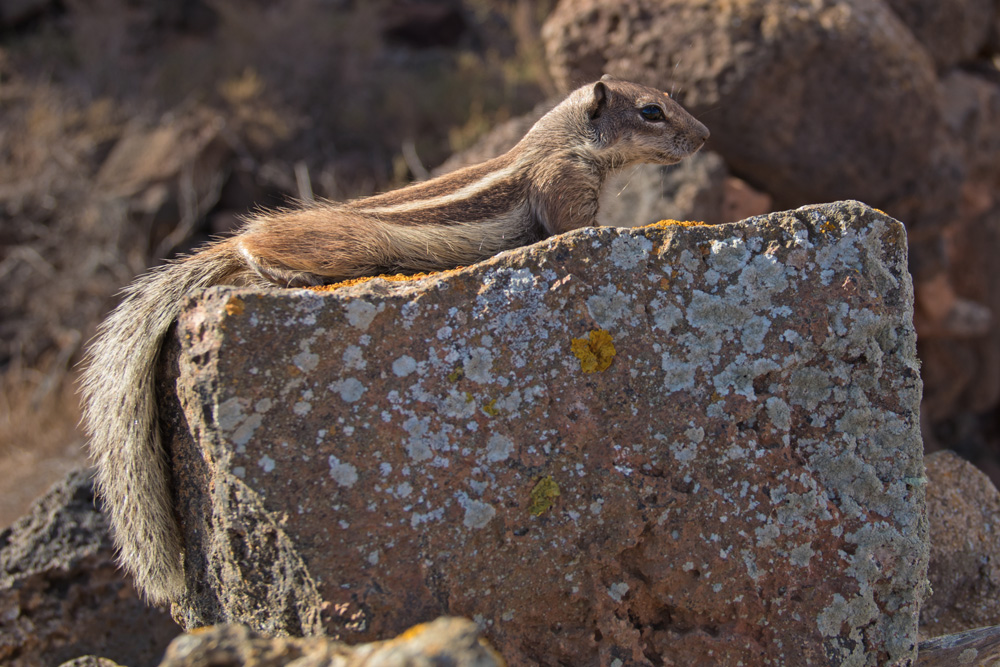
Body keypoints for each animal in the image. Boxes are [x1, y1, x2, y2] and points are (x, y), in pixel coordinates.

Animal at [84, 75, 712, 604]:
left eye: (668, 100)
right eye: (651, 111)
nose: (705, 135)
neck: (561, 143)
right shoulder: (563, 187)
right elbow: (578, 228)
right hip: (343, 243)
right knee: (253, 252)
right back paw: (279, 272)